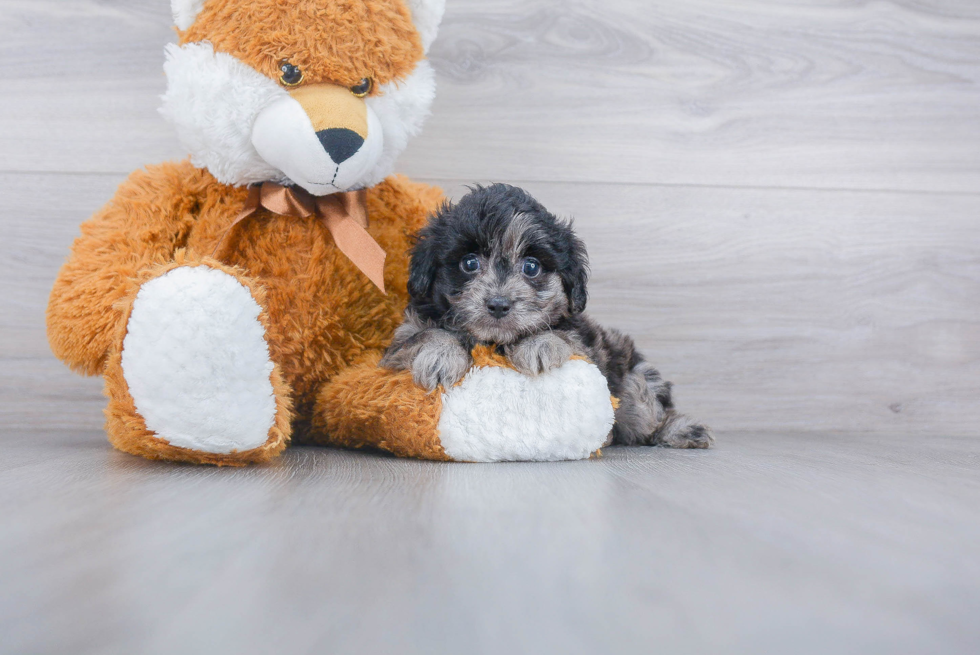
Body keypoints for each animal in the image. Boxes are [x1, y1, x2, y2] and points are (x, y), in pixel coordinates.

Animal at [382, 184, 712, 452]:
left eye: (531, 267)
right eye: (469, 263)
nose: (499, 304)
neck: (494, 341)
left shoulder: (586, 346)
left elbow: (561, 334)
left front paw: (539, 345)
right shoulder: (399, 343)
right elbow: (423, 334)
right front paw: (441, 355)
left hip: (634, 385)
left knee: (647, 414)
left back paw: (681, 430)